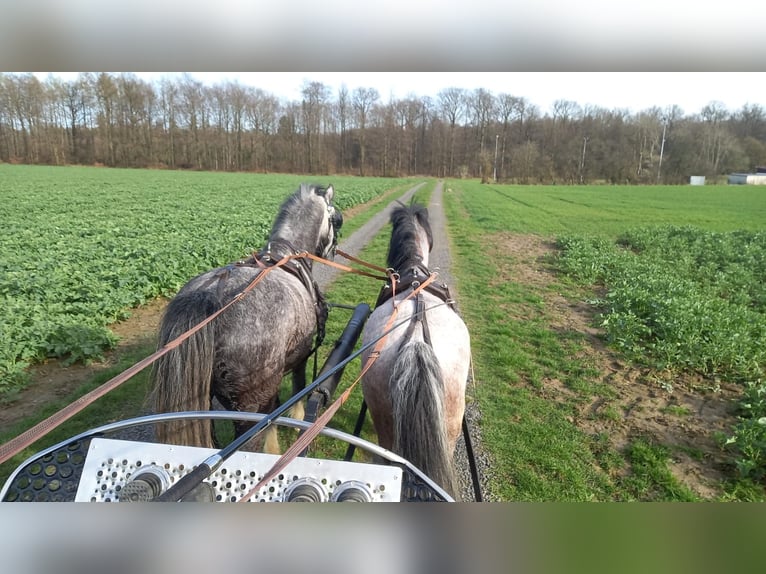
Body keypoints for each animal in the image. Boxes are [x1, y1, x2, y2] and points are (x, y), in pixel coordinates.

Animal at [150, 184, 342, 454]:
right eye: (336, 219)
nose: (334, 251)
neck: (286, 255)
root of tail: (209, 295)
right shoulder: (301, 354)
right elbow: (298, 385)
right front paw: (293, 423)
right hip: (247, 406)